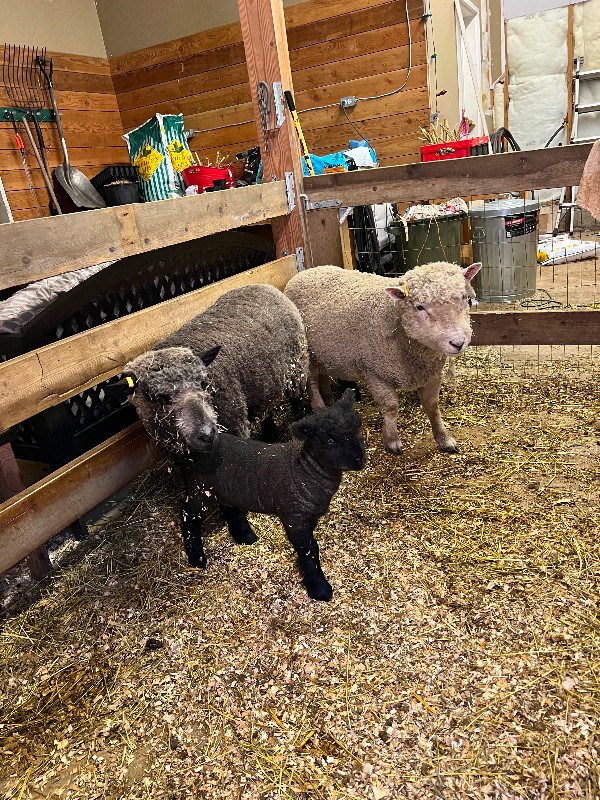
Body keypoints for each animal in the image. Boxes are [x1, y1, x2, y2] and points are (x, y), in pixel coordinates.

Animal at [113, 284, 310, 454]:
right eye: (154, 397)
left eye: (202, 383)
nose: (207, 435)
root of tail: (263, 285)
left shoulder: (235, 426)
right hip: (260, 384)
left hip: (297, 368)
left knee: (297, 400)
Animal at [180, 388, 366, 600]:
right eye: (329, 440)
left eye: (358, 428)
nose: (360, 460)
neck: (305, 469)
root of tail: (193, 450)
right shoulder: (294, 518)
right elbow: (309, 550)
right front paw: (319, 588)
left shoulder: (308, 517)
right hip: (199, 490)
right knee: (188, 516)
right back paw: (197, 558)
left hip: (224, 488)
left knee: (230, 509)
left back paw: (245, 537)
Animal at [284, 262, 482, 456]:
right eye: (419, 307)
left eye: (464, 297)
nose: (458, 342)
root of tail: (304, 272)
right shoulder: (375, 372)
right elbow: (391, 408)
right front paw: (392, 441)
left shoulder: (431, 374)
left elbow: (432, 406)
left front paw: (444, 439)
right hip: (305, 354)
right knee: (311, 382)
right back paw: (319, 407)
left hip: (322, 356)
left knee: (321, 375)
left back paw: (328, 401)